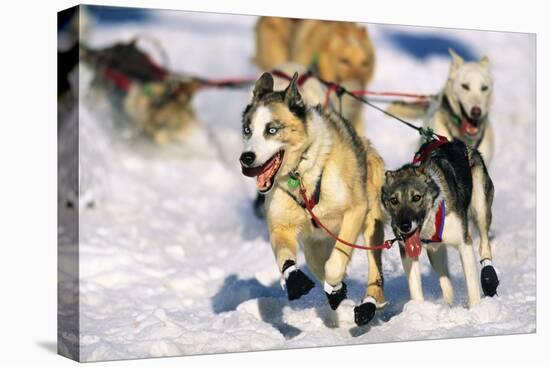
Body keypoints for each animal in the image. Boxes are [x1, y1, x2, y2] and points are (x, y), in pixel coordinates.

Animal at [384, 139, 500, 310]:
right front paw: (418, 310)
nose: (404, 226)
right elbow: (416, 286)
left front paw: (475, 309)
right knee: (444, 277)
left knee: (484, 245)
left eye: (416, 197)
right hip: (435, 251)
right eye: (394, 200)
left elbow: (472, 285)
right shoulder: (408, 252)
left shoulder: (464, 244)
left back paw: (488, 276)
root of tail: (455, 142)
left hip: (481, 208)